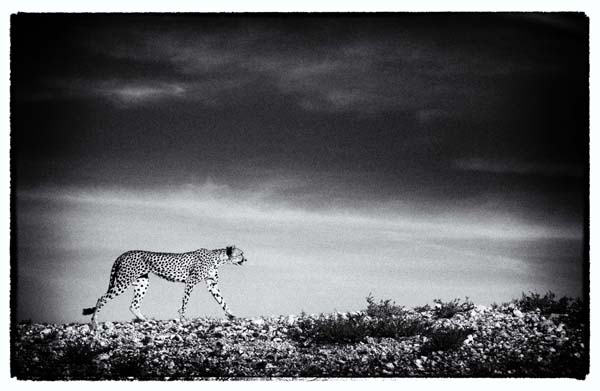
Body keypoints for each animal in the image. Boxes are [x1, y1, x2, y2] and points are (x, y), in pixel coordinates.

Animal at [82, 247, 246, 330]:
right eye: (241, 254)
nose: (246, 259)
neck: (218, 259)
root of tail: (124, 253)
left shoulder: (212, 285)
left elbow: (222, 301)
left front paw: (231, 315)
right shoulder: (191, 281)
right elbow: (185, 301)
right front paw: (182, 317)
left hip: (142, 282)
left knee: (133, 305)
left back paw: (145, 320)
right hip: (123, 281)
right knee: (101, 298)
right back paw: (94, 321)